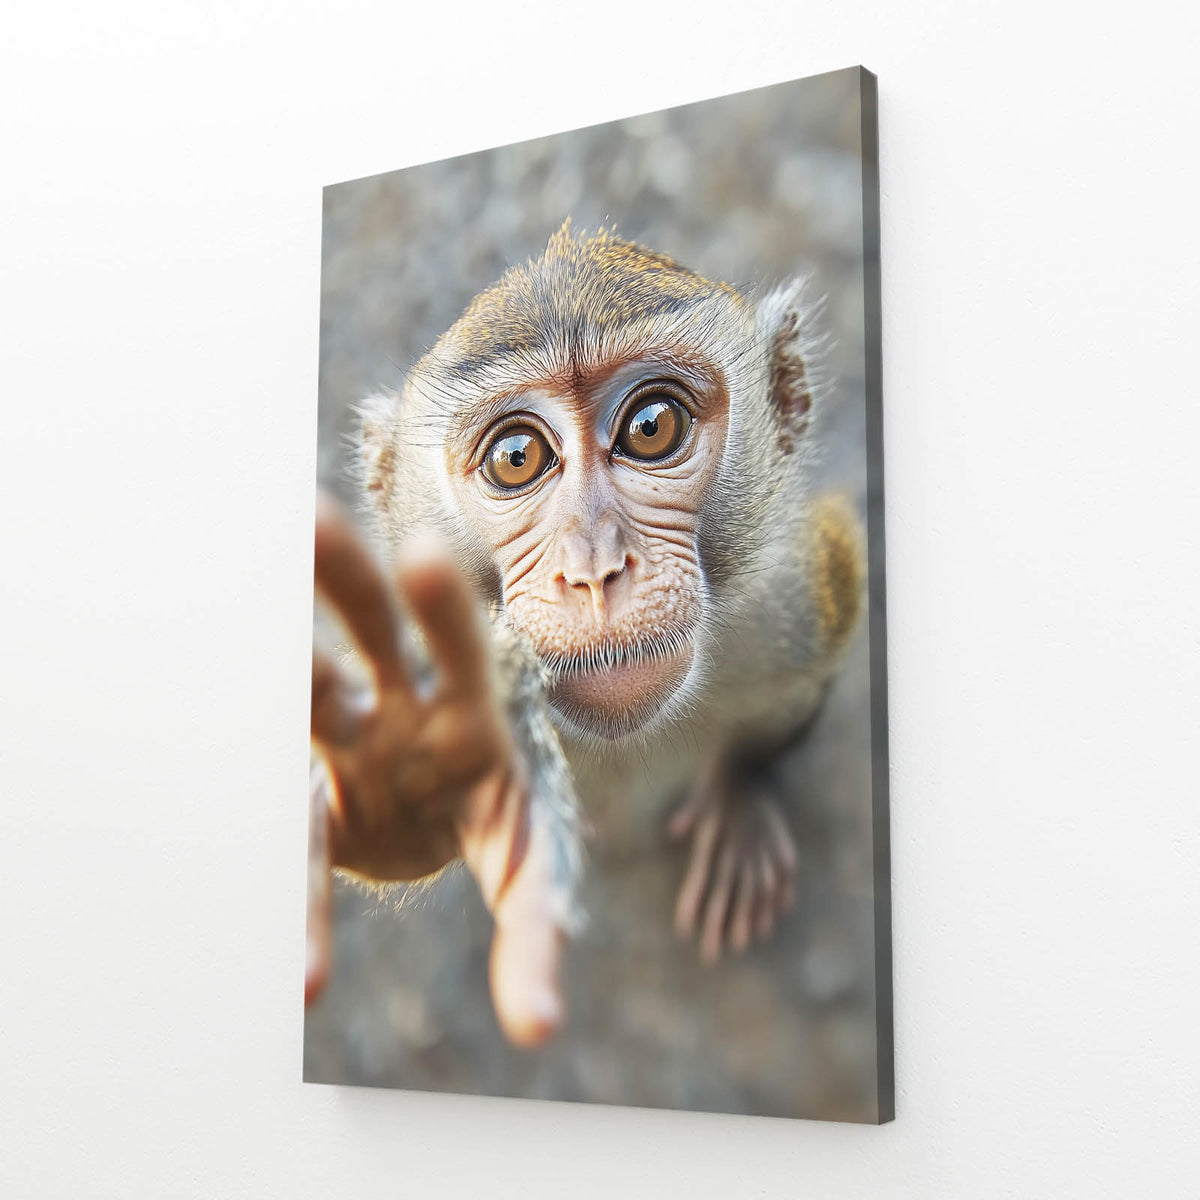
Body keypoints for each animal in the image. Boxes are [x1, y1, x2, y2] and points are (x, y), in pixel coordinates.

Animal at [308, 221, 864, 1047]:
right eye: (517, 458)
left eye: (651, 426)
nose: (594, 570)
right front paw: (409, 771)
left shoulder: (800, 594)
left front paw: (743, 792)